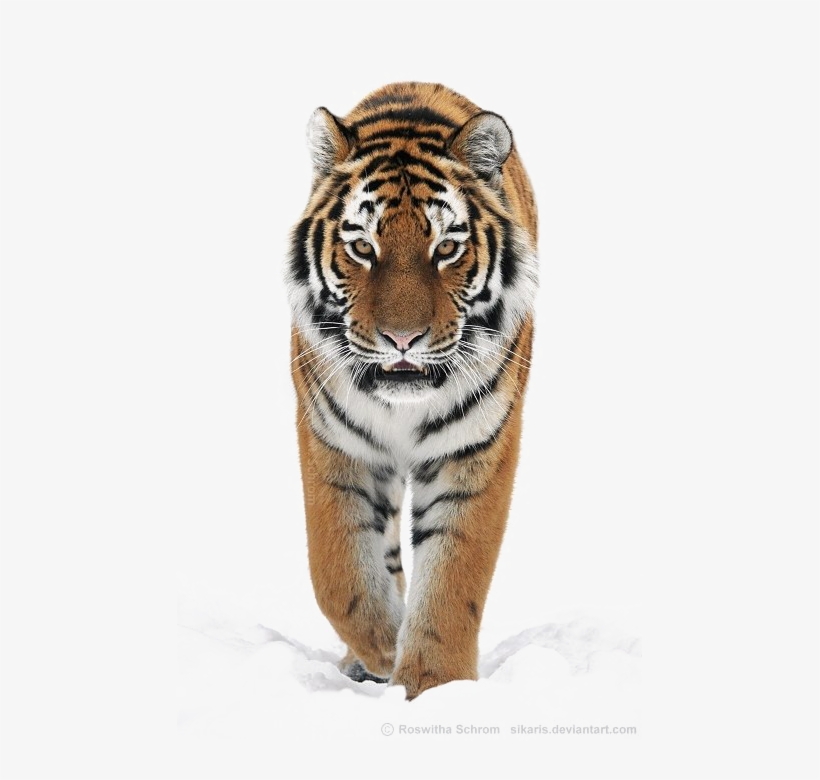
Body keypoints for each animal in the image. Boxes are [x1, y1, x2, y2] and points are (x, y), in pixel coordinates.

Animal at [286, 82, 538, 699]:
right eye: (362, 248)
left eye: (446, 249)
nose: (402, 339)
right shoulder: (333, 444)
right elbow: (336, 570)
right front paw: (381, 646)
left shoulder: (474, 450)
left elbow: (453, 579)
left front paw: (435, 687)